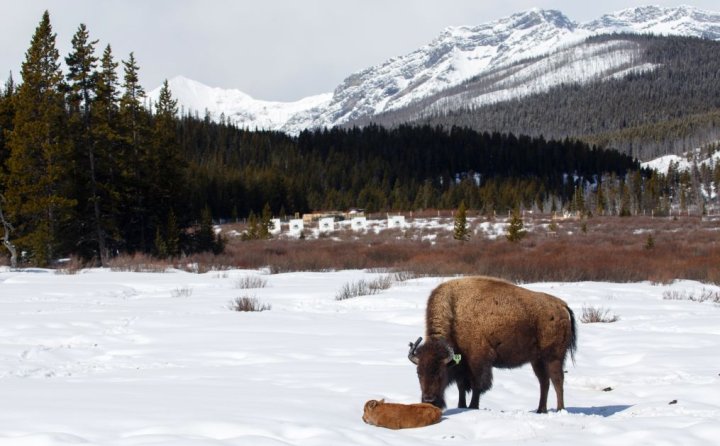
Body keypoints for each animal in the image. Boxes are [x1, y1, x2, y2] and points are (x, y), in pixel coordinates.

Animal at [408, 278, 576, 412]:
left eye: (440, 373)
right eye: (418, 373)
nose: (429, 400)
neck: (454, 314)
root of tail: (562, 305)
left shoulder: (478, 361)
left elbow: (477, 385)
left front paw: (473, 407)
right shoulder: (462, 365)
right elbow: (462, 386)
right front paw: (461, 405)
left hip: (553, 357)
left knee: (557, 381)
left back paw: (560, 410)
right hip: (537, 360)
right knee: (544, 382)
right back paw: (541, 410)